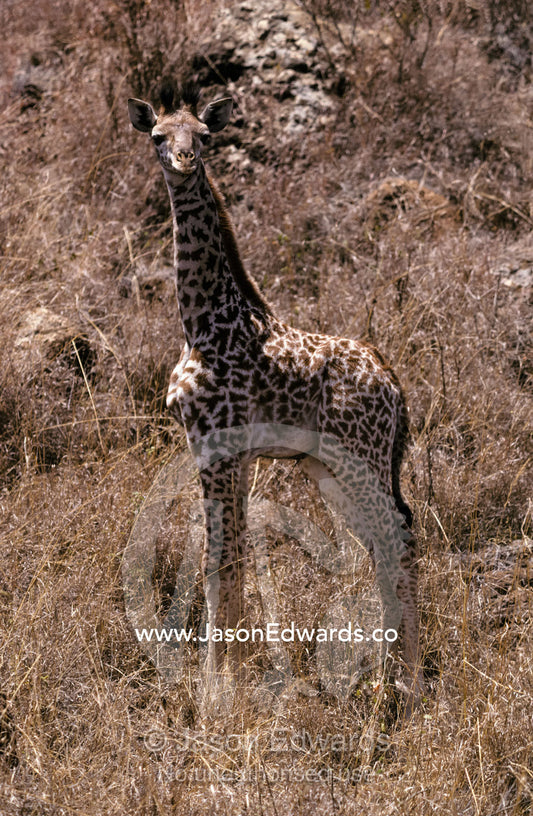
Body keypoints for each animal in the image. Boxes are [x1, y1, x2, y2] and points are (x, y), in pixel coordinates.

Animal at [128, 80, 423, 703]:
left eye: (205, 135)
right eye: (158, 136)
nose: (184, 161)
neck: (201, 321)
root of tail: (394, 386)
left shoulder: (215, 445)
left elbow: (218, 559)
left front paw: (215, 693)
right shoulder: (232, 454)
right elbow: (232, 555)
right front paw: (233, 678)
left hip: (358, 456)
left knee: (397, 538)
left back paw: (408, 687)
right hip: (327, 466)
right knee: (384, 542)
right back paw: (385, 679)